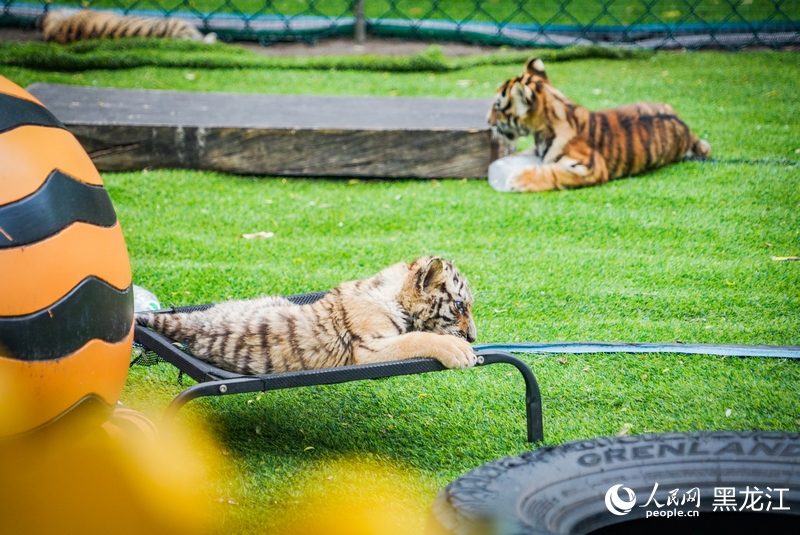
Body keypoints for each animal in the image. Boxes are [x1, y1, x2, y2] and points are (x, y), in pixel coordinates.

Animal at [135, 257, 477, 375]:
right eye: (461, 306)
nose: (474, 337)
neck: (392, 294)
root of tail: (195, 325)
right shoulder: (369, 348)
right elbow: (416, 338)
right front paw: (460, 350)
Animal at [487, 57, 711, 192]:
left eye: (497, 107)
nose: (488, 122)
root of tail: (687, 130)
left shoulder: (590, 168)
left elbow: (553, 172)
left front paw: (517, 179)